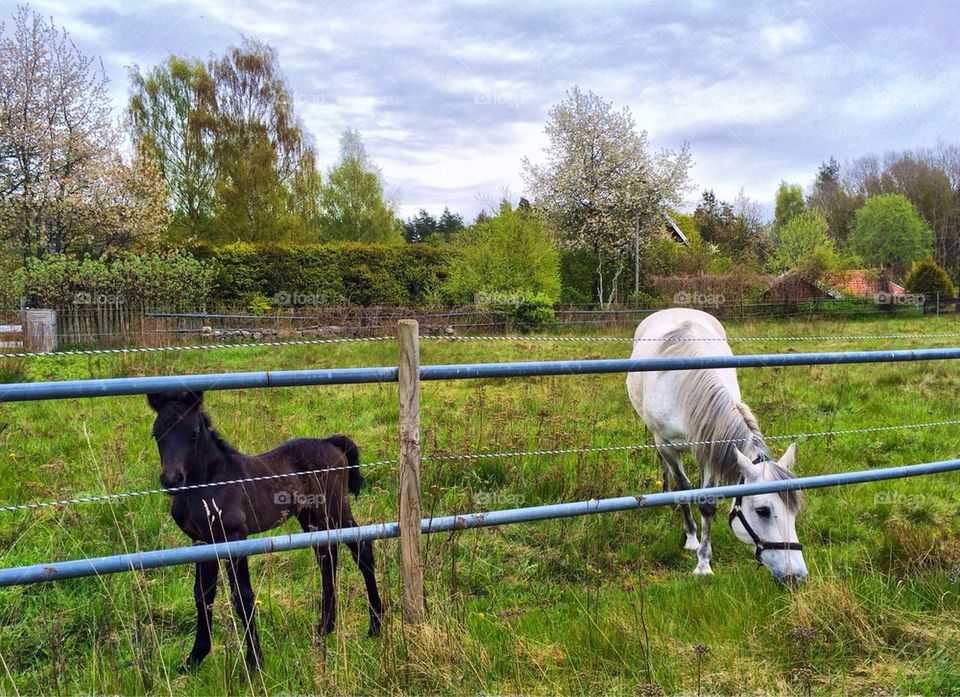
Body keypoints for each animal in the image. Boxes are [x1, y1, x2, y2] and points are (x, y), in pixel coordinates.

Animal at [146, 392, 382, 668]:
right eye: (156, 433)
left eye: (193, 434)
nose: (172, 480)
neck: (209, 482)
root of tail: (330, 442)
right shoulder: (201, 541)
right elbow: (202, 595)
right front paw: (194, 658)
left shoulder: (234, 538)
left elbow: (242, 597)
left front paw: (254, 660)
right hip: (310, 516)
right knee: (327, 557)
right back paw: (324, 628)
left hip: (335, 510)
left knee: (361, 550)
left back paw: (375, 626)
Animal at [628, 308, 808, 580]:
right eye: (762, 511)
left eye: (795, 510)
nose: (795, 575)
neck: (683, 385)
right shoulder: (667, 444)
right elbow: (684, 488)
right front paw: (692, 540)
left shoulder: (710, 447)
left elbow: (708, 502)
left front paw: (703, 560)